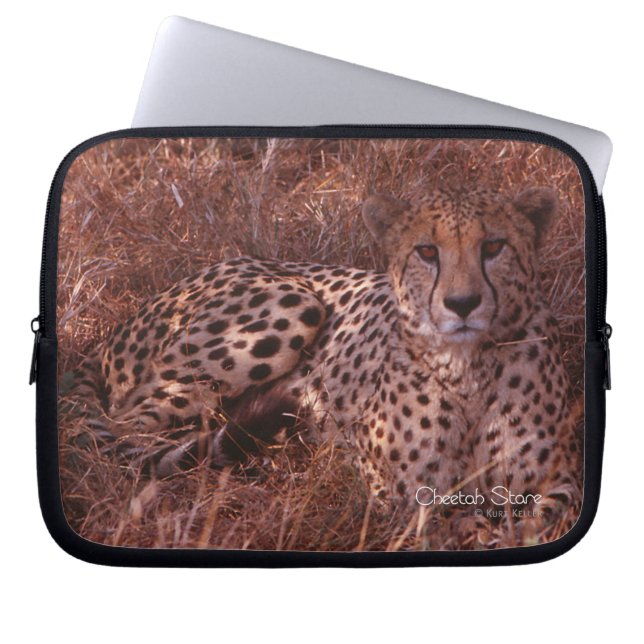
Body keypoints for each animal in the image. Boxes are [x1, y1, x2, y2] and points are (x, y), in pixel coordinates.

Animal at [70, 185, 581, 521]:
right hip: (294, 305)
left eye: (494, 246)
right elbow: (449, 517)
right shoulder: (396, 489)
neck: (467, 369)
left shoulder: (560, 480)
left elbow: (542, 516)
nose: (462, 304)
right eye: (426, 251)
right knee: (124, 430)